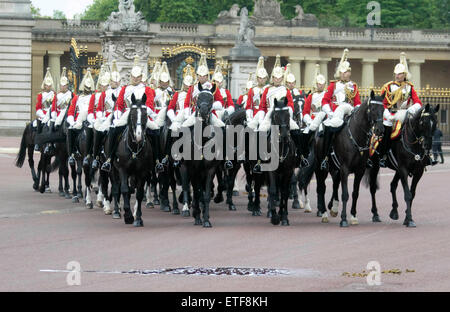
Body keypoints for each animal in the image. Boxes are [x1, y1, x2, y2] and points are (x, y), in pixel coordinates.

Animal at [314, 91, 384, 227]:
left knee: (335, 184)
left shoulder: (359, 170)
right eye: (372, 108)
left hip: (334, 168)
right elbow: (345, 194)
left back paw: (333, 208)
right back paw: (324, 213)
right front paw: (344, 219)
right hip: (321, 168)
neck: (356, 136)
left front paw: (353, 216)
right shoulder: (345, 169)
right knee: (321, 188)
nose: (379, 130)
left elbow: (355, 193)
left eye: (383, 109)